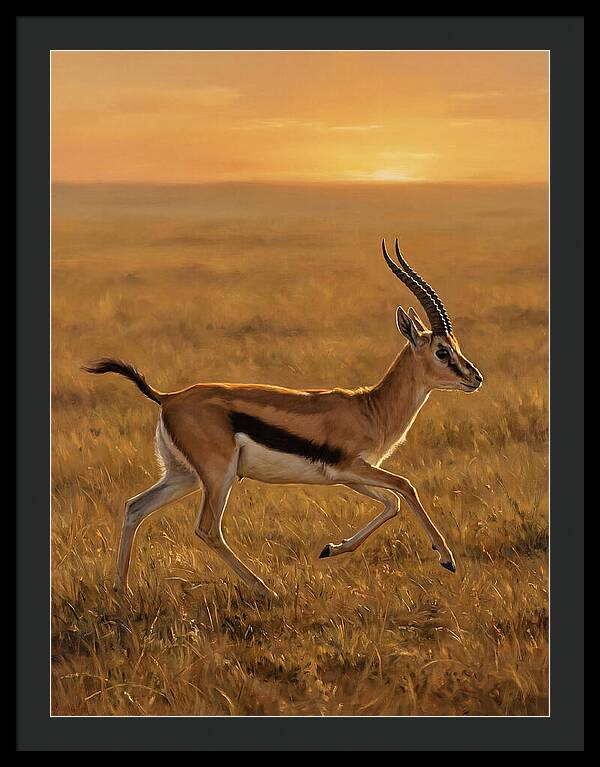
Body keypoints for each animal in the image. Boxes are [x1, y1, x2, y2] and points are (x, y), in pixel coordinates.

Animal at [85, 238, 482, 600]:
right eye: (442, 351)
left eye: (457, 346)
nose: (475, 377)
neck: (370, 408)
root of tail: (168, 397)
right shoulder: (353, 467)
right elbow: (405, 487)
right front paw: (446, 559)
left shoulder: (348, 475)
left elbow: (392, 503)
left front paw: (331, 548)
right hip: (218, 476)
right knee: (207, 529)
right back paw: (266, 590)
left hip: (183, 475)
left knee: (135, 507)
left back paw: (122, 590)